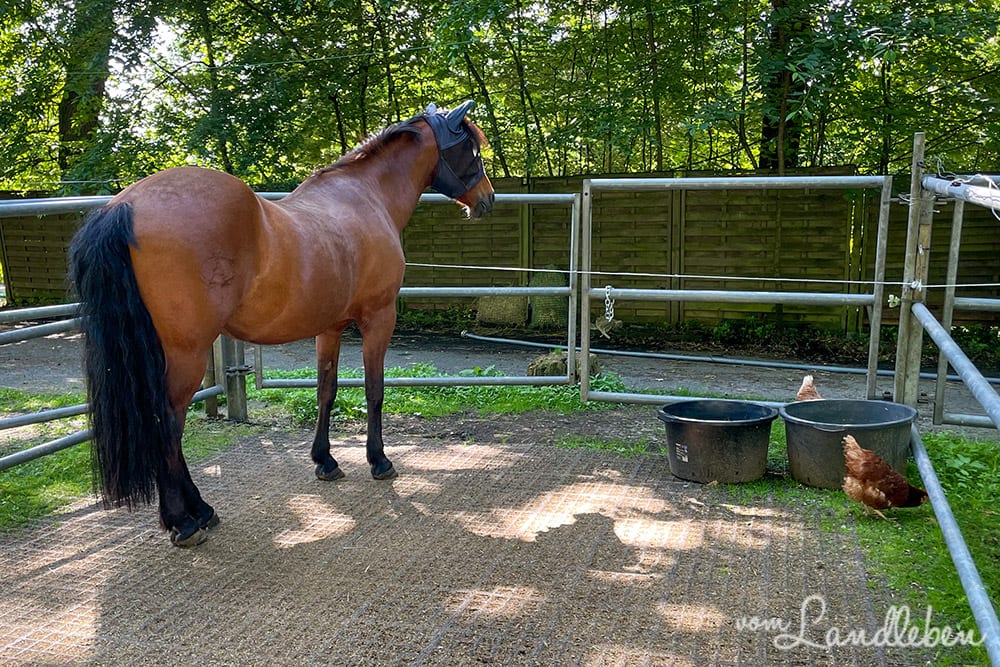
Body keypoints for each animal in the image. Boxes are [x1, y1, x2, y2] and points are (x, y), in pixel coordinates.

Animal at [68, 101, 495, 547]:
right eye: (471, 149)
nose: (487, 198)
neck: (366, 197)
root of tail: (123, 208)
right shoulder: (379, 319)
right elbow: (374, 390)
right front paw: (378, 460)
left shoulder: (330, 327)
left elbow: (326, 390)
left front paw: (325, 460)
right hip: (186, 355)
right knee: (168, 424)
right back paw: (185, 520)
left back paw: (200, 512)